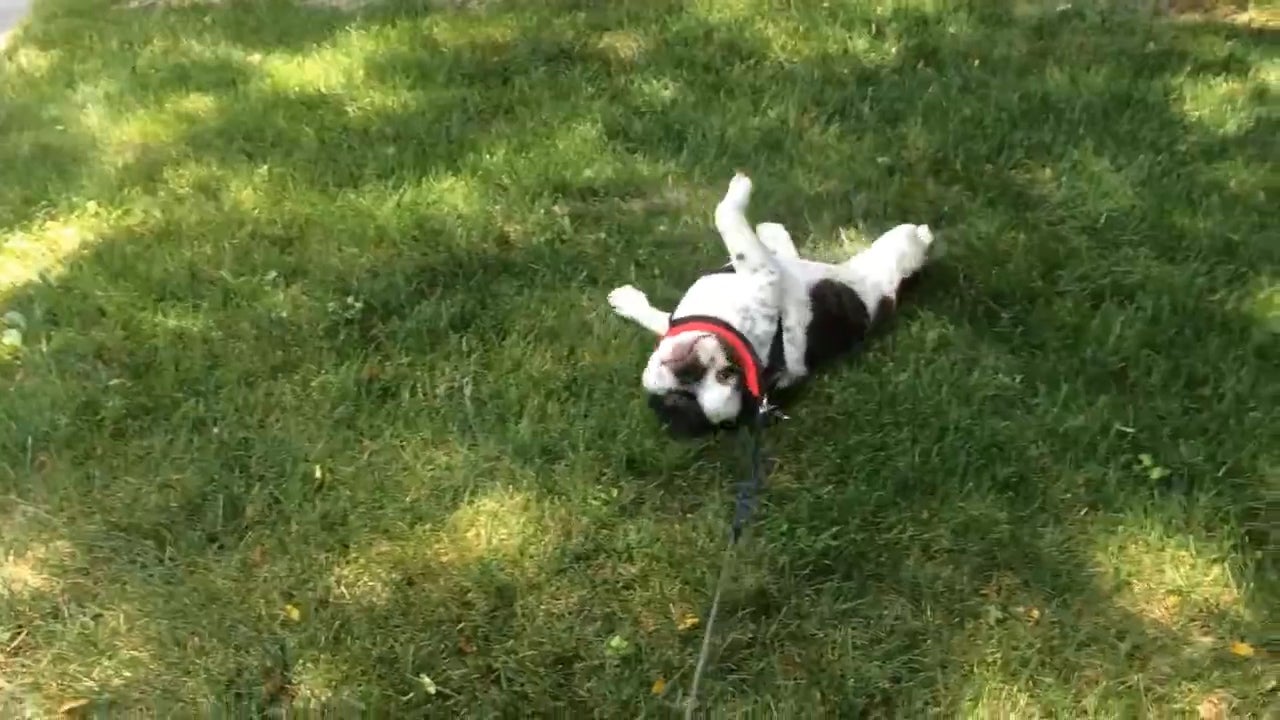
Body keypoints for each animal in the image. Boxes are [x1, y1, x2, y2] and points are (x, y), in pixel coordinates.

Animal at [607, 173, 935, 438]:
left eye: (725, 375)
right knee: (910, 240)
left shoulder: (759, 274)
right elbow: (729, 221)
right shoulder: (764, 274)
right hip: (891, 251)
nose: (689, 370)